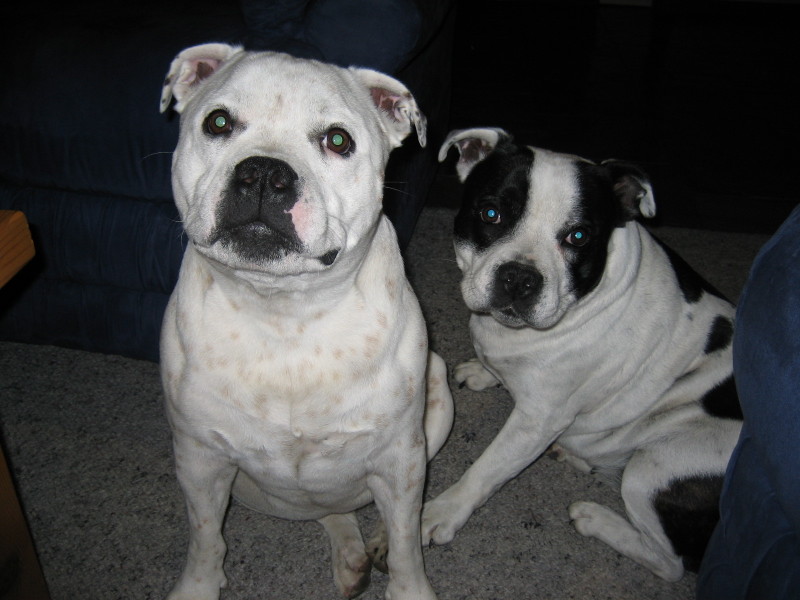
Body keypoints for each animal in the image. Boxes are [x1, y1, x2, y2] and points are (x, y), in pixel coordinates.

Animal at [158, 43, 453, 600]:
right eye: (217, 122)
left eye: (338, 140)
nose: (263, 173)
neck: (285, 313)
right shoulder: (200, 461)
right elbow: (205, 537)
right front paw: (198, 586)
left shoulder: (401, 461)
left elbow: (408, 540)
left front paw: (408, 583)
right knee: (328, 511)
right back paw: (351, 555)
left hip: (438, 402)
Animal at [421, 127, 743, 581]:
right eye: (490, 214)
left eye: (578, 237)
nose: (519, 276)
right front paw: (484, 372)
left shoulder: (537, 420)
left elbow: (488, 467)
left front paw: (444, 511)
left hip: (655, 467)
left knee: (669, 563)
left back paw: (595, 517)